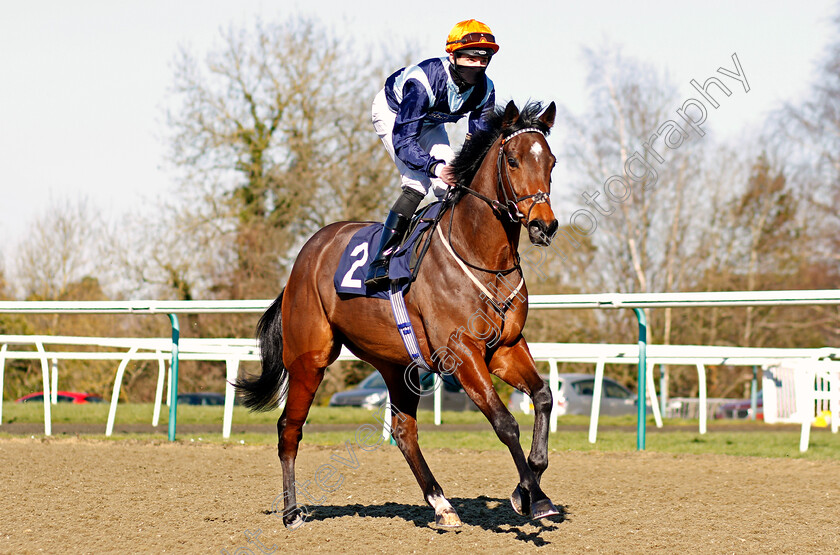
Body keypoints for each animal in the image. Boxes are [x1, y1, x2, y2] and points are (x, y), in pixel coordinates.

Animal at [236, 100, 560, 528]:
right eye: (513, 160)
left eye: (551, 161)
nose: (544, 225)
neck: (480, 255)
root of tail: (306, 255)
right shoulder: (463, 354)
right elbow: (505, 423)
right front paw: (535, 498)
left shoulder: (504, 348)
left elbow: (543, 397)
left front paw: (529, 487)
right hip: (309, 358)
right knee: (289, 428)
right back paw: (291, 513)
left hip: (395, 363)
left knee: (405, 432)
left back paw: (442, 505)